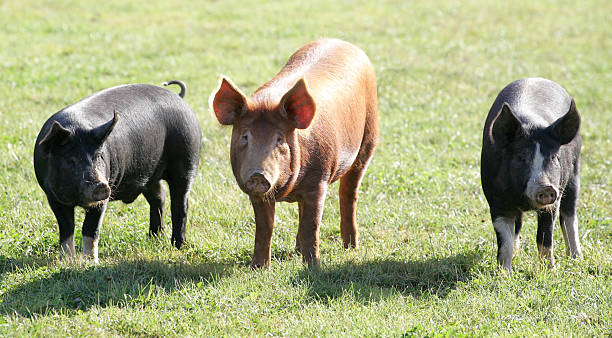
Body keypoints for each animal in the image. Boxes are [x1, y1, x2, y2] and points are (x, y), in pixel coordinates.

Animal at [34, 80, 201, 262]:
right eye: (71, 160)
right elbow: (66, 229)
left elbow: (90, 229)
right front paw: (67, 261)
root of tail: (179, 98)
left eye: (99, 156)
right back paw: (154, 238)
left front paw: (91, 263)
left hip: (187, 159)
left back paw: (178, 246)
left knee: (180, 205)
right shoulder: (52, 197)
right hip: (150, 176)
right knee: (159, 198)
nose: (101, 186)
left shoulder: (103, 199)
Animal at [213, 38, 380, 268]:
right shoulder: (256, 194)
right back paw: (298, 249)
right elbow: (264, 228)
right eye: (245, 137)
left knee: (349, 194)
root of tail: (344, 43)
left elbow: (312, 226)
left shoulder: (318, 181)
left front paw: (313, 267)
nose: (258, 174)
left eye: (279, 139)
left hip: (368, 139)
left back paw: (351, 247)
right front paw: (258, 268)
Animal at [478, 78, 584, 270]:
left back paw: (576, 259)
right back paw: (519, 254)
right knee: (518, 224)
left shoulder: (553, 202)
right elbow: (504, 242)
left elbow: (545, 239)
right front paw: (504, 273)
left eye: (553, 156)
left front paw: (549, 271)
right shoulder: (496, 202)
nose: (546, 187)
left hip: (573, 174)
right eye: (521, 157)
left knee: (570, 216)